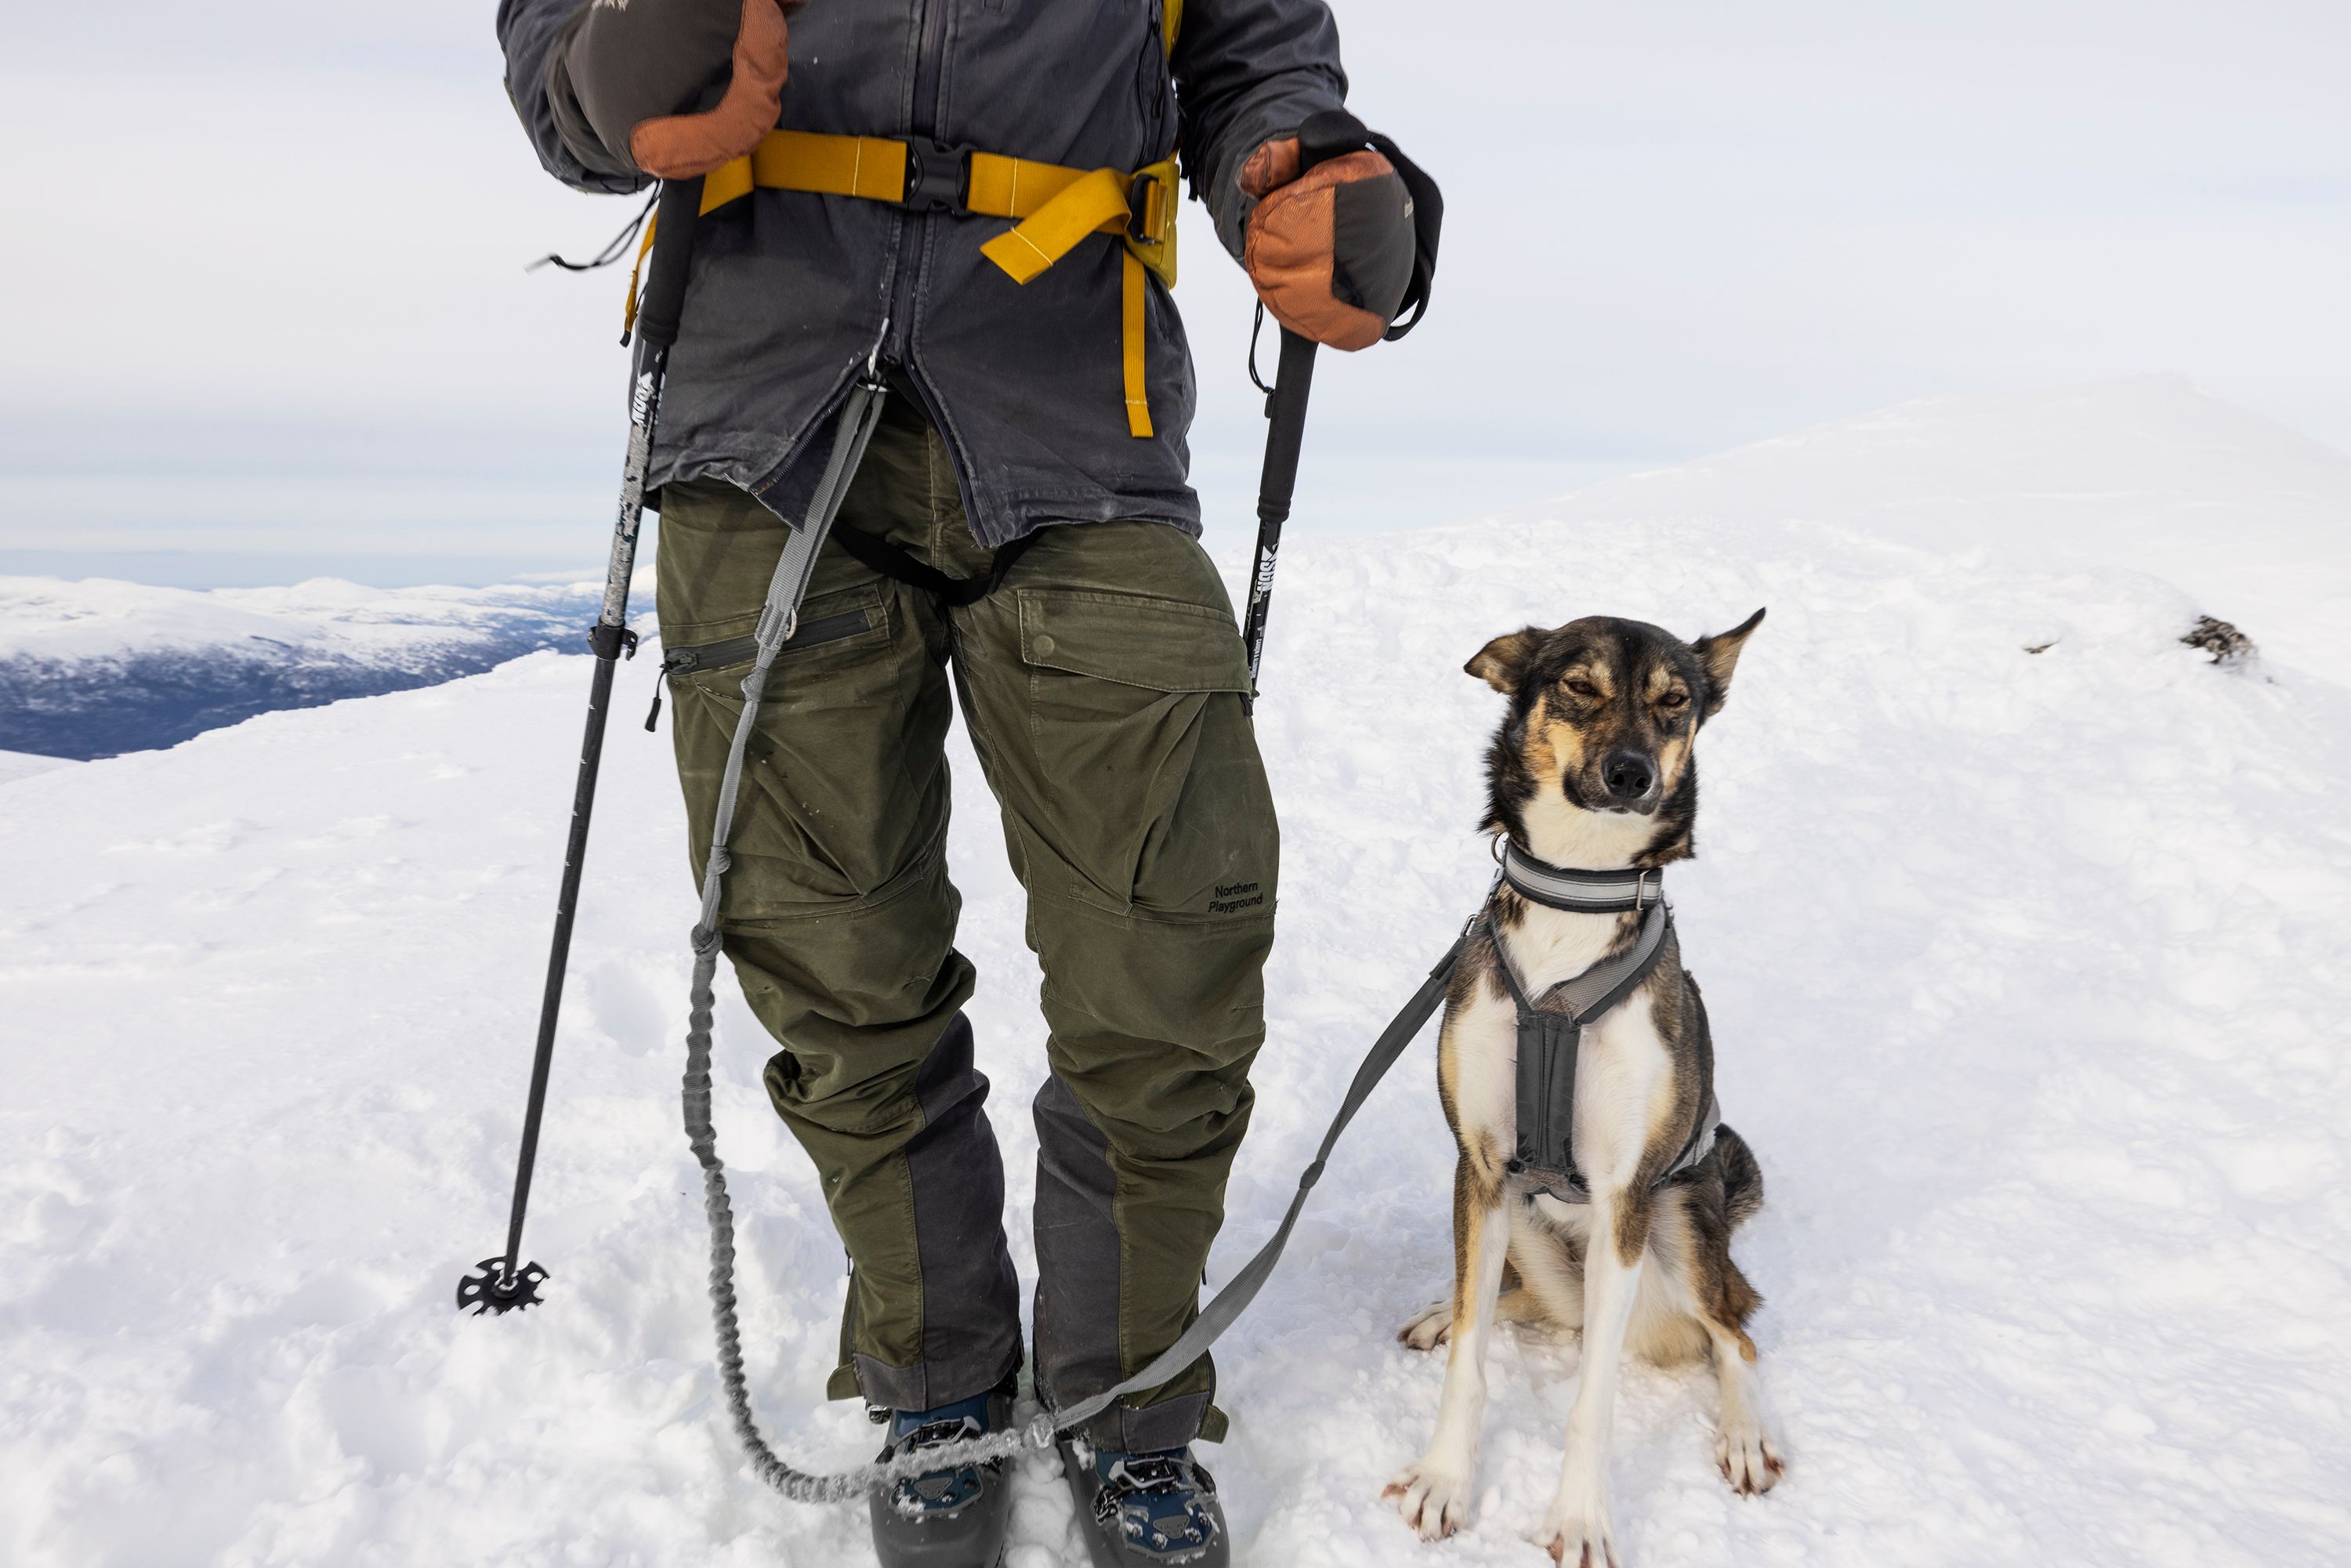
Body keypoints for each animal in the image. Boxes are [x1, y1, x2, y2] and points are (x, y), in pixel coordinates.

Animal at [1373, 607, 1777, 1561]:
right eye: (1579, 686)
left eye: (1673, 702)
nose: (1632, 773)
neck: (1576, 898)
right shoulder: (1480, 1168)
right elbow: (1471, 1355)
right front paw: (1445, 1481)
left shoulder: (1626, 1193)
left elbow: (1594, 1397)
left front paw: (1581, 1518)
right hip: (1519, 1218)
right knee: (1523, 1304)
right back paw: (1443, 1309)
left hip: (1677, 1229)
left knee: (1733, 1331)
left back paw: (1744, 1434)